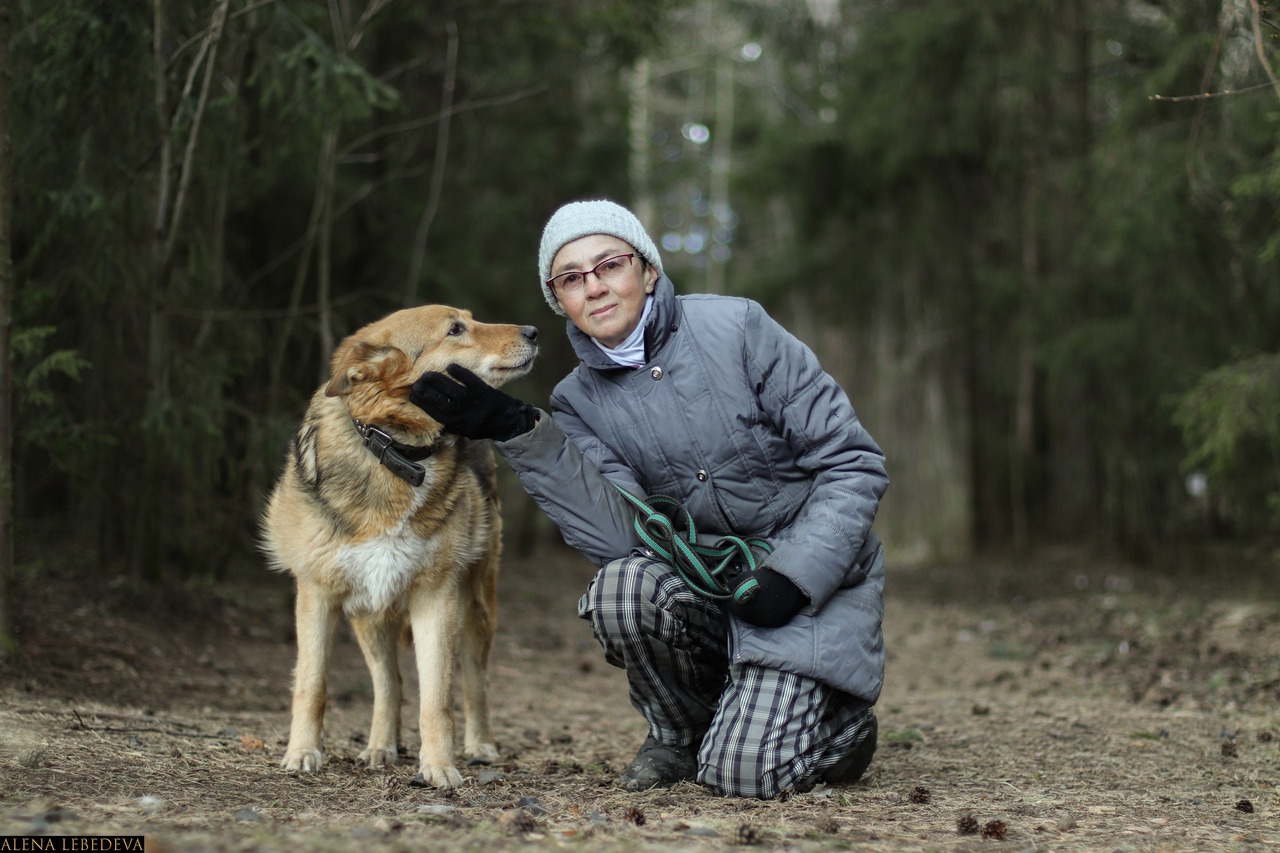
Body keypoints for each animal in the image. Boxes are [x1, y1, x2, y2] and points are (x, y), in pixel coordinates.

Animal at [259, 302, 540, 788]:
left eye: (469, 319)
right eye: (455, 329)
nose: (535, 331)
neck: (398, 453)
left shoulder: (437, 599)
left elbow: (437, 698)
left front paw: (440, 766)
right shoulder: (317, 595)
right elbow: (312, 685)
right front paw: (302, 753)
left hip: (476, 607)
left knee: (474, 679)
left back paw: (479, 745)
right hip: (369, 615)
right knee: (390, 683)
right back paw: (379, 747)